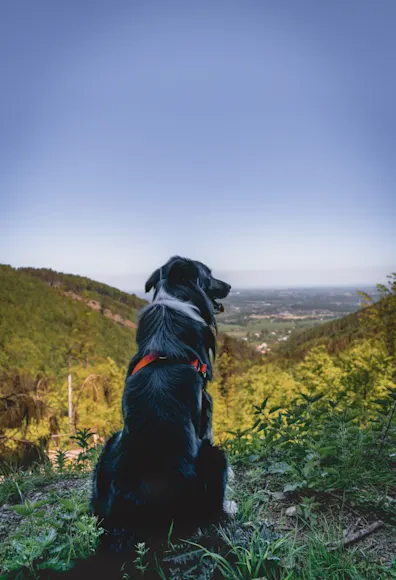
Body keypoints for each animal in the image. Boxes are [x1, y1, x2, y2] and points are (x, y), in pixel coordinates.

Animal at [90, 258, 232, 552]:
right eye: (210, 274)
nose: (229, 286)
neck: (175, 296)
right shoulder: (206, 402)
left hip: (108, 447)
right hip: (216, 456)